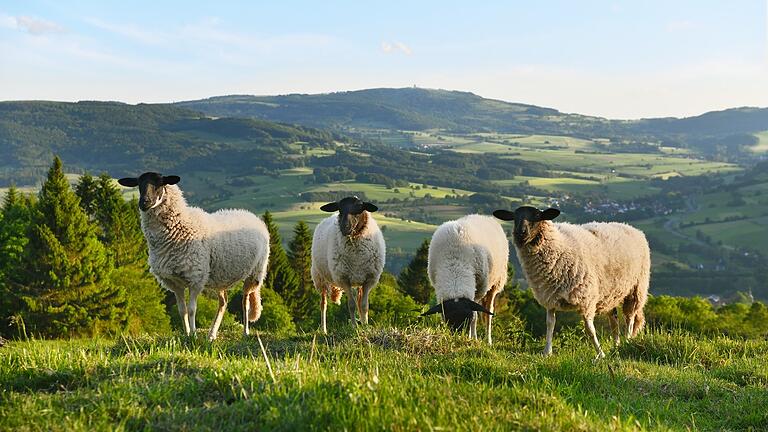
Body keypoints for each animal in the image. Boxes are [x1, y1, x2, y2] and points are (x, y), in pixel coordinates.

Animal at [115, 172, 268, 340]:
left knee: (245, 301)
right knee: (223, 303)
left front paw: (194, 335)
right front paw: (187, 334)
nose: (144, 203)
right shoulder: (174, 282)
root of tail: (252, 216)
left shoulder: (196, 278)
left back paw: (245, 331)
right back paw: (212, 335)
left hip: (255, 271)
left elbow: (192, 309)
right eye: (138, 185)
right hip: (220, 275)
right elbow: (182, 310)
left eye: (160, 184)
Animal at [310, 196, 384, 334]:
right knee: (323, 304)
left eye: (360, 208)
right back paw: (323, 330)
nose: (345, 228)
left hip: (359, 279)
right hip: (320, 278)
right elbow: (351, 305)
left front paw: (365, 325)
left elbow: (364, 305)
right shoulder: (344, 279)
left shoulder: (369, 279)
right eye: (340, 209)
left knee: (359, 302)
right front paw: (354, 327)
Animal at [420, 213, 510, 344]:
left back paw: (488, 340)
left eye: (467, 319)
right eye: (448, 319)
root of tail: (485, 216)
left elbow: (476, 316)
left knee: (488, 312)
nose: (458, 337)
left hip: (496, 283)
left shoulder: (478, 291)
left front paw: (473, 338)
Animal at [496, 206, 652, 358]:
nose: (520, 233)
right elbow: (550, 324)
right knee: (613, 319)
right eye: (514, 217)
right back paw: (616, 345)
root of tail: (631, 228)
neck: (559, 247)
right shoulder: (550, 297)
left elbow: (590, 329)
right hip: (611, 292)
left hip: (637, 287)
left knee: (630, 317)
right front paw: (547, 352)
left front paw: (600, 354)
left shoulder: (586, 298)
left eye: (537, 216)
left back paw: (627, 341)